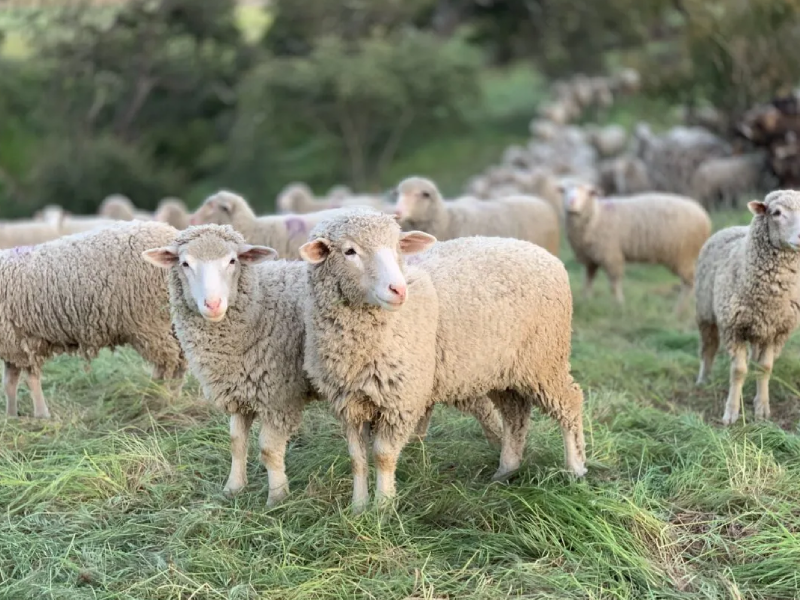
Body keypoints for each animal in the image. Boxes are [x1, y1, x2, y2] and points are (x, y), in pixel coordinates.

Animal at [2, 222, 186, 418]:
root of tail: (172, 232)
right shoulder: (12, 345)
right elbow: (9, 383)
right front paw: (11, 416)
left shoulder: (22, 341)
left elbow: (31, 380)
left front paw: (41, 415)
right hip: (170, 321)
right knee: (181, 359)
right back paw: (171, 397)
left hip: (150, 323)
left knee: (168, 361)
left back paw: (156, 399)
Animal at [143, 224, 504, 505]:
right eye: (185, 263)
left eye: (232, 261)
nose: (213, 304)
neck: (258, 305)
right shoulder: (240, 389)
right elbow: (236, 442)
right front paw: (233, 487)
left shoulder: (279, 395)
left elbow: (268, 449)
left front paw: (277, 497)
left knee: (485, 409)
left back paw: (500, 451)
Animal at [300, 208, 586, 511]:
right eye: (349, 251)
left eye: (397, 247)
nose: (398, 290)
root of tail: (545, 254)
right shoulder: (348, 403)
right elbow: (357, 459)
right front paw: (357, 508)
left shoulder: (401, 399)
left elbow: (383, 456)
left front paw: (383, 508)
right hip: (503, 369)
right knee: (515, 415)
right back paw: (505, 471)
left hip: (545, 359)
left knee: (570, 403)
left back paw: (575, 469)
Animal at [559, 182, 711, 309]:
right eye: (565, 191)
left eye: (589, 192)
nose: (571, 202)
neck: (596, 216)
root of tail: (704, 216)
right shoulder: (591, 259)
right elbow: (588, 281)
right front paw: (586, 301)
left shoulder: (611, 255)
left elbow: (614, 283)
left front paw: (618, 304)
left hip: (682, 254)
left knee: (690, 282)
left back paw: (679, 310)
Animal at [695, 190, 800, 424]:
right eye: (776, 213)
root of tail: (732, 227)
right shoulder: (733, 328)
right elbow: (738, 371)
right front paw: (731, 413)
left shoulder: (776, 330)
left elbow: (765, 368)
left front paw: (762, 408)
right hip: (705, 313)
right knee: (708, 348)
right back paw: (703, 380)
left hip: (759, 329)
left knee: (754, 356)